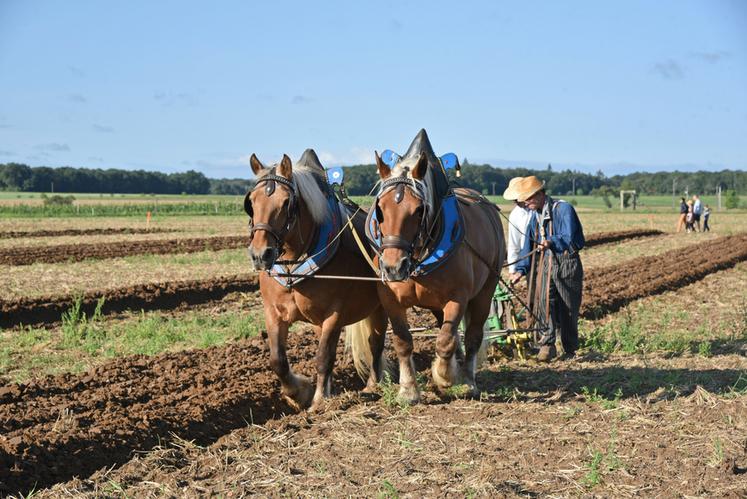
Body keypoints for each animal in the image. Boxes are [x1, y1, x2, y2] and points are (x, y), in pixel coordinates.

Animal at [245, 150, 386, 412]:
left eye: (286, 202)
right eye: (252, 202)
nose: (260, 255)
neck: (294, 268)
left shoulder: (334, 314)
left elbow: (322, 357)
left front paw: (318, 401)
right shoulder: (273, 313)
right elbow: (277, 360)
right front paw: (298, 393)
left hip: (380, 306)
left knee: (375, 343)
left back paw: (373, 385)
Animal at [356, 131, 506, 404]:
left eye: (418, 210)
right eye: (380, 210)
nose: (394, 267)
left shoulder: (458, 298)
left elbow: (445, 341)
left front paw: (444, 376)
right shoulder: (390, 299)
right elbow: (403, 341)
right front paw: (408, 390)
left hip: (485, 291)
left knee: (472, 336)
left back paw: (468, 381)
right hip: (437, 305)